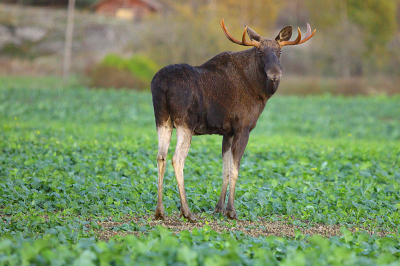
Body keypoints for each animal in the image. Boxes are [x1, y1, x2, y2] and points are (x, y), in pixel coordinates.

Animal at [150, 19, 316, 221]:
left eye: (279, 52)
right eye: (259, 53)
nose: (275, 74)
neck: (259, 92)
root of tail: (163, 85)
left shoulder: (227, 132)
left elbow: (225, 170)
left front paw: (218, 208)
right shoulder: (243, 128)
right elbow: (235, 170)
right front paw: (231, 211)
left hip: (162, 119)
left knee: (161, 157)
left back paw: (160, 211)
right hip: (185, 122)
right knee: (177, 159)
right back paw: (186, 211)